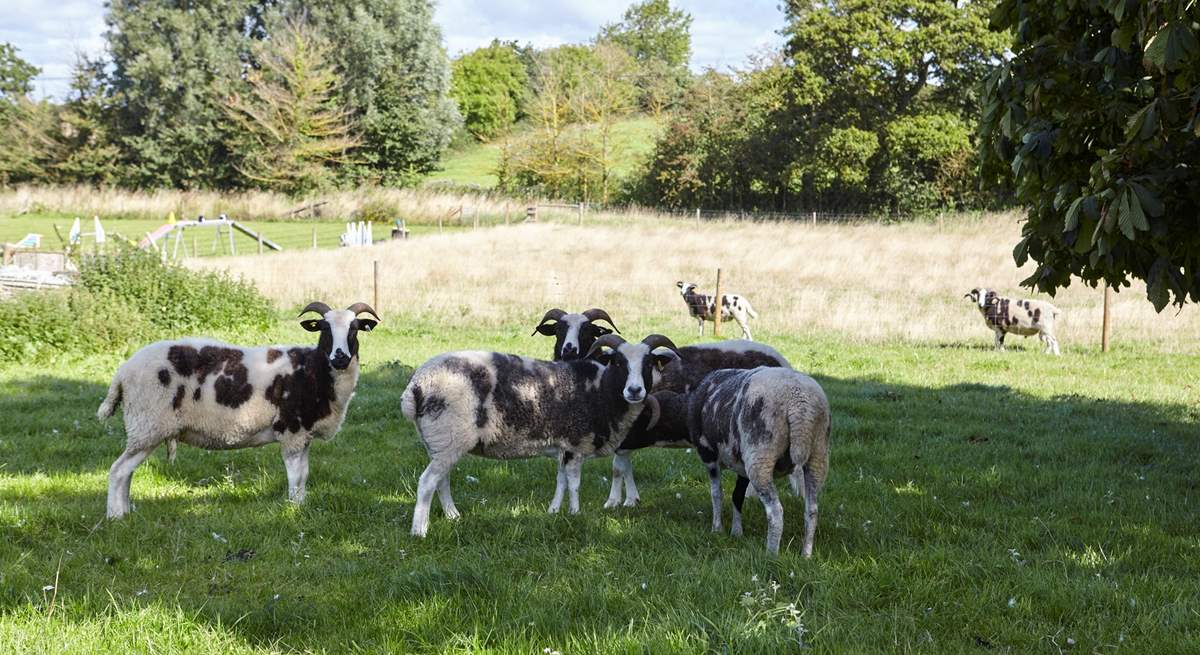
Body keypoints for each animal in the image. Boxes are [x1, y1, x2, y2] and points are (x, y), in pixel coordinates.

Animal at [97, 298, 379, 518]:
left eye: (354, 330)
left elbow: (304, 475)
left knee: (127, 472)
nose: (340, 357)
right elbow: (295, 477)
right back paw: (115, 516)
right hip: (147, 426)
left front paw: (300, 505)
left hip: (145, 430)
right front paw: (294, 509)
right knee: (118, 471)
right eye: (324, 329)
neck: (314, 370)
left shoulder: (303, 434)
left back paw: (126, 512)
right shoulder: (291, 430)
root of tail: (122, 373)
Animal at [604, 338, 792, 506]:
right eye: (619, 364)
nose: (634, 390)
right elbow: (622, 466)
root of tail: (783, 363)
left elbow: (619, 466)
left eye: (648, 364)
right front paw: (625, 500)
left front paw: (619, 501)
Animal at [691, 364, 830, 554]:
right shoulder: (741, 466)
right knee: (812, 510)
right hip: (818, 453)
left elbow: (716, 493)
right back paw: (806, 554)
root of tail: (799, 403)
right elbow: (737, 495)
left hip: (760, 455)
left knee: (775, 512)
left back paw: (771, 554)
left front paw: (717, 529)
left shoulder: (708, 453)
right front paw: (736, 532)